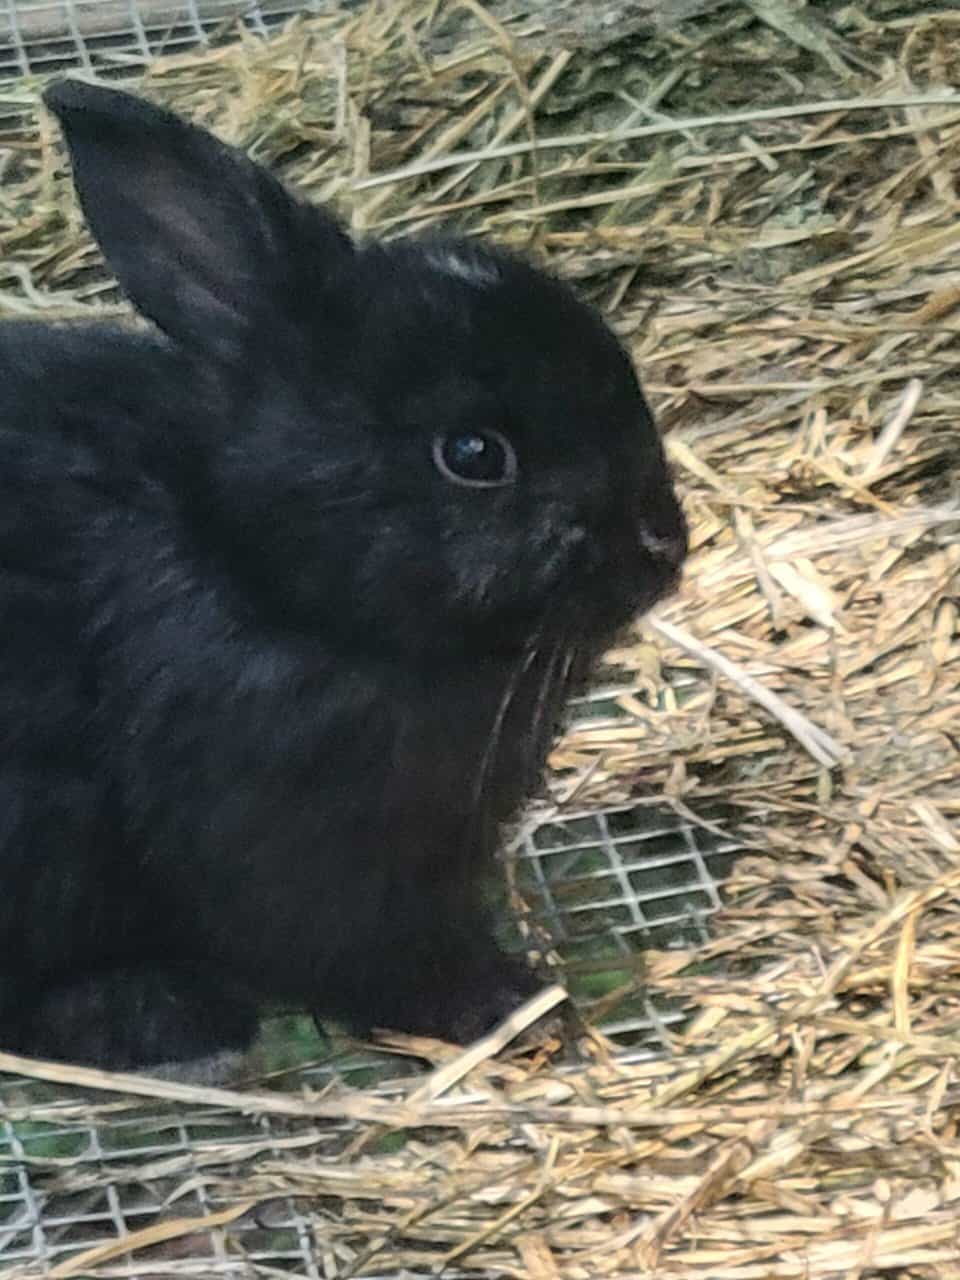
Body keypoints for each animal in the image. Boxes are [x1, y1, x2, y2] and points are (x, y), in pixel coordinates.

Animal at [0, 79, 687, 1073]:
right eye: (474, 454)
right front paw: (515, 1005)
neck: (252, 566)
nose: (666, 546)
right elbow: (368, 951)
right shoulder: (298, 856)